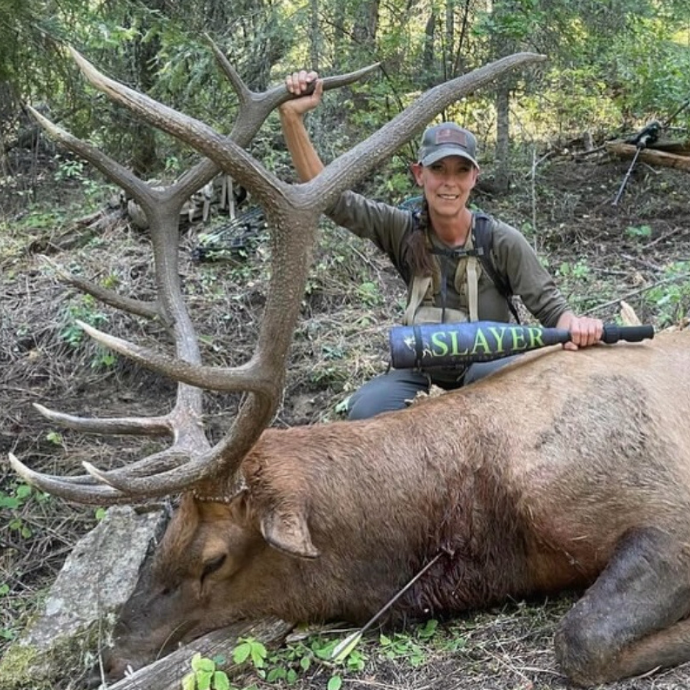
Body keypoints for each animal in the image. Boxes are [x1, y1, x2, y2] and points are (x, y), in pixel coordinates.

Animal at [8, 43, 690, 689]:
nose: (116, 655)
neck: (490, 527)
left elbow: (580, 638)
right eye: (165, 539)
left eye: (213, 559)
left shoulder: (665, 507)